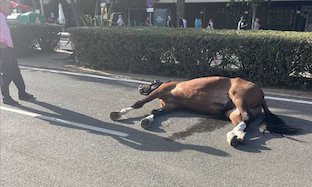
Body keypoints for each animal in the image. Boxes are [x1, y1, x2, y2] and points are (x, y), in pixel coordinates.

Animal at [110, 76, 300, 146]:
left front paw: (118, 114)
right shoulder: (170, 106)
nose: (139, 87)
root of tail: (262, 95)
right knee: (243, 121)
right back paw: (236, 137)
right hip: (232, 112)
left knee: (245, 117)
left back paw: (234, 136)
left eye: (149, 83)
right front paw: (147, 120)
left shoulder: (161, 91)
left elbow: (139, 104)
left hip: (237, 96)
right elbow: (156, 111)